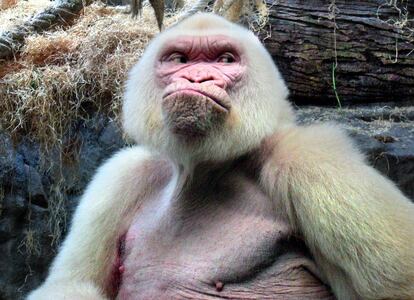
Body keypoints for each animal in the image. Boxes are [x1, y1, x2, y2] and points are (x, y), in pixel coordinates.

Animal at [29, 13, 414, 300]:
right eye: (180, 60)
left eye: (225, 60)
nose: (197, 77)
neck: (201, 170)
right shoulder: (123, 174)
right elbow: (72, 284)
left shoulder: (309, 161)